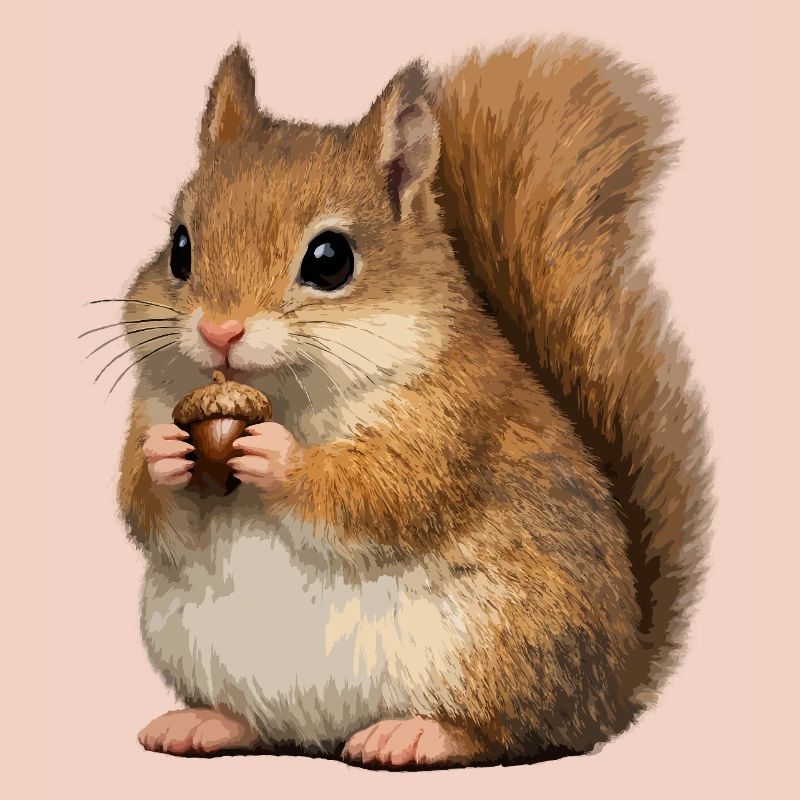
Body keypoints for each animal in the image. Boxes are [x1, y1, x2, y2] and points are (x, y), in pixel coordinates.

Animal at [113, 37, 713, 768]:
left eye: (330, 259)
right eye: (178, 247)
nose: (219, 332)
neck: (289, 395)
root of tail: (615, 688)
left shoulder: (451, 417)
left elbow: (386, 492)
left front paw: (279, 458)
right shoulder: (152, 402)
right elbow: (144, 507)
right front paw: (165, 457)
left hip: (502, 643)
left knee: (510, 733)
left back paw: (416, 734)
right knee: (260, 724)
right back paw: (206, 723)